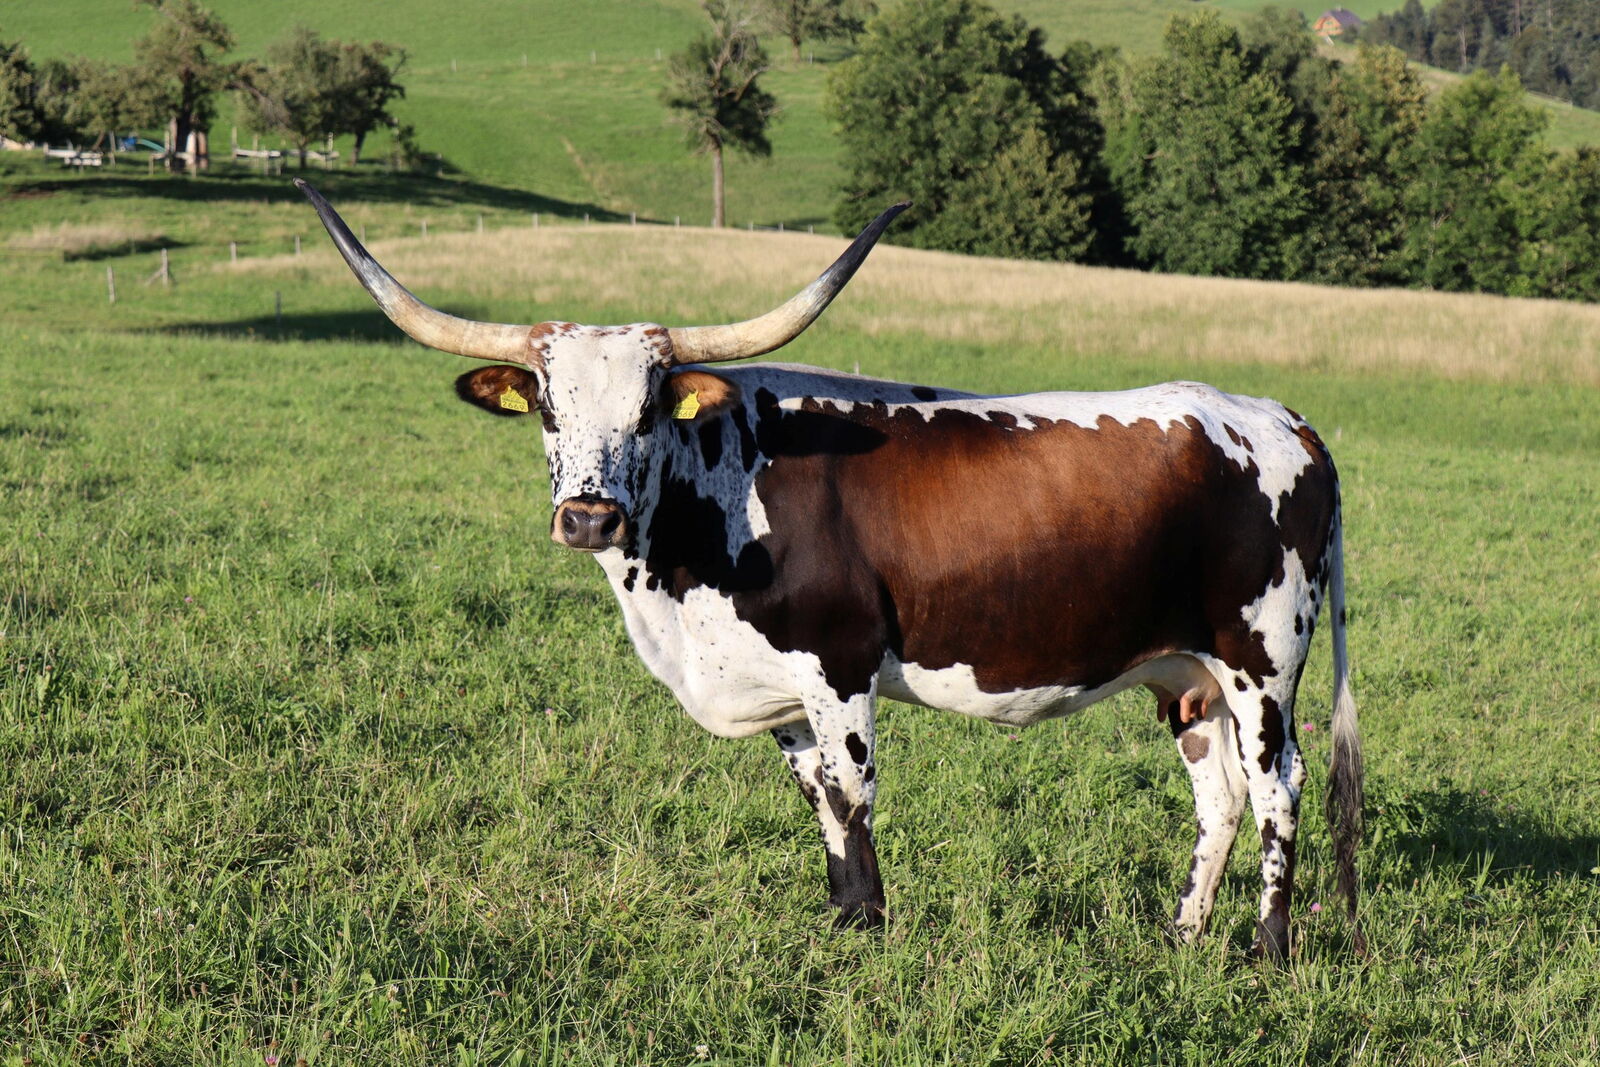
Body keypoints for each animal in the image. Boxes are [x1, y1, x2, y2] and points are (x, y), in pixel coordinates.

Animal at [296, 180, 1363, 961]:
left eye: (648, 407)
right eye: (550, 409)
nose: (589, 514)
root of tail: (1282, 417)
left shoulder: (838, 666)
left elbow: (853, 802)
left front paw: (870, 938)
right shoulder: (779, 697)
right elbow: (818, 805)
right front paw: (844, 928)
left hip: (1263, 663)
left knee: (1279, 788)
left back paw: (1267, 948)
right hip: (1186, 674)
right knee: (1219, 795)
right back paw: (1182, 936)